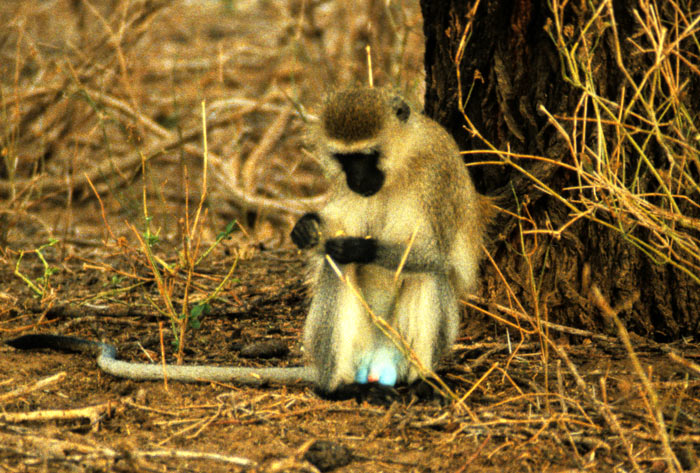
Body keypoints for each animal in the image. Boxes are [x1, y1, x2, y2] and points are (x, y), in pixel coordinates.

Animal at [5, 85, 486, 394]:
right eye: (344, 160)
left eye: (369, 156)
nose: (358, 179)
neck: (401, 164)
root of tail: (376, 365)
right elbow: (326, 246)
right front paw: (307, 228)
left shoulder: (438, 175)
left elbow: (437, 256)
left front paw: (352, 246)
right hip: (357, 350)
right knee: (339, 279)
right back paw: (338, 388)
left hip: (407, 347)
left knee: (429, 275)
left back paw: (421, 383)